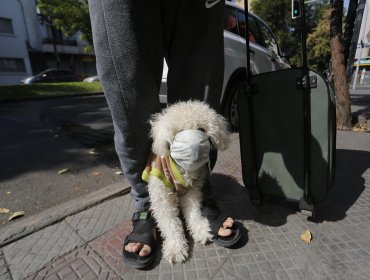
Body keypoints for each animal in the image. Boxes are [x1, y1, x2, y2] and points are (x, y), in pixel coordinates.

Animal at [142, 101, 237, 264]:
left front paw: (200, 229)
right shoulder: (162, 197)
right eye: (180, 131)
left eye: (202, 129)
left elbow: (193, 212)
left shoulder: (192, 191)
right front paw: (175, 247)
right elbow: (170, 223)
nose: (194, 146)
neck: (183, 168)